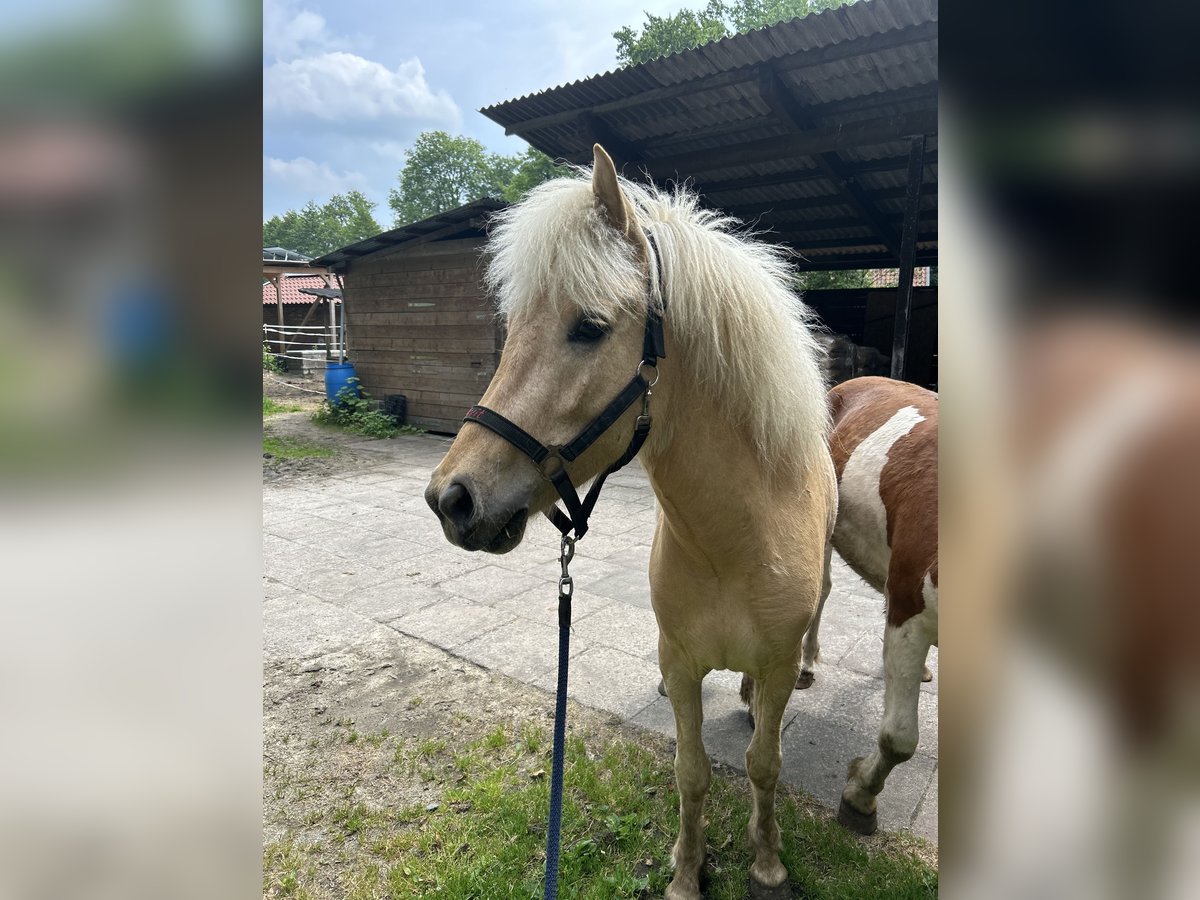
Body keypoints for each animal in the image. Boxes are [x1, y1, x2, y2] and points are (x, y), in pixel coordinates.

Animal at [425, 145, 837, 899]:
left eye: (588, 328)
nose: (453, 498)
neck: (734, 545)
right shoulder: (682, 663)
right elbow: (691, 771)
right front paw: (685, 871)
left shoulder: (775, 661)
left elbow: (764, 763)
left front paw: (767, 861)